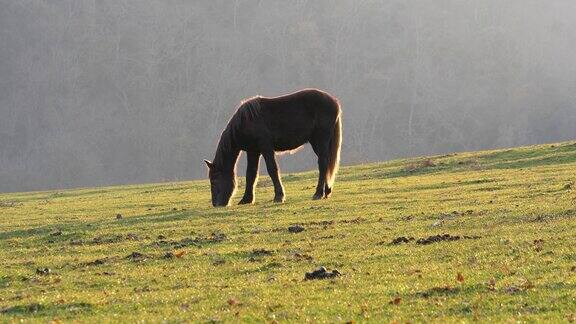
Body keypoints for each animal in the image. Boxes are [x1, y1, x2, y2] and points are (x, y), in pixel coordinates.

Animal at [204, 88, 342, 208]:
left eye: (214, 179)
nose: (216, 204)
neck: (246, 121)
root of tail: (334, 102)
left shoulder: (266, 148)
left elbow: (272, 170)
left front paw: (279, 196)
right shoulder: (253, 151)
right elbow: (251, 174)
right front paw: (246, 199)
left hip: (321, 139)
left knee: (323, 163)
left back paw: (318, 193)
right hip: (316, 142)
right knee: (327, 163)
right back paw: (326, 191)